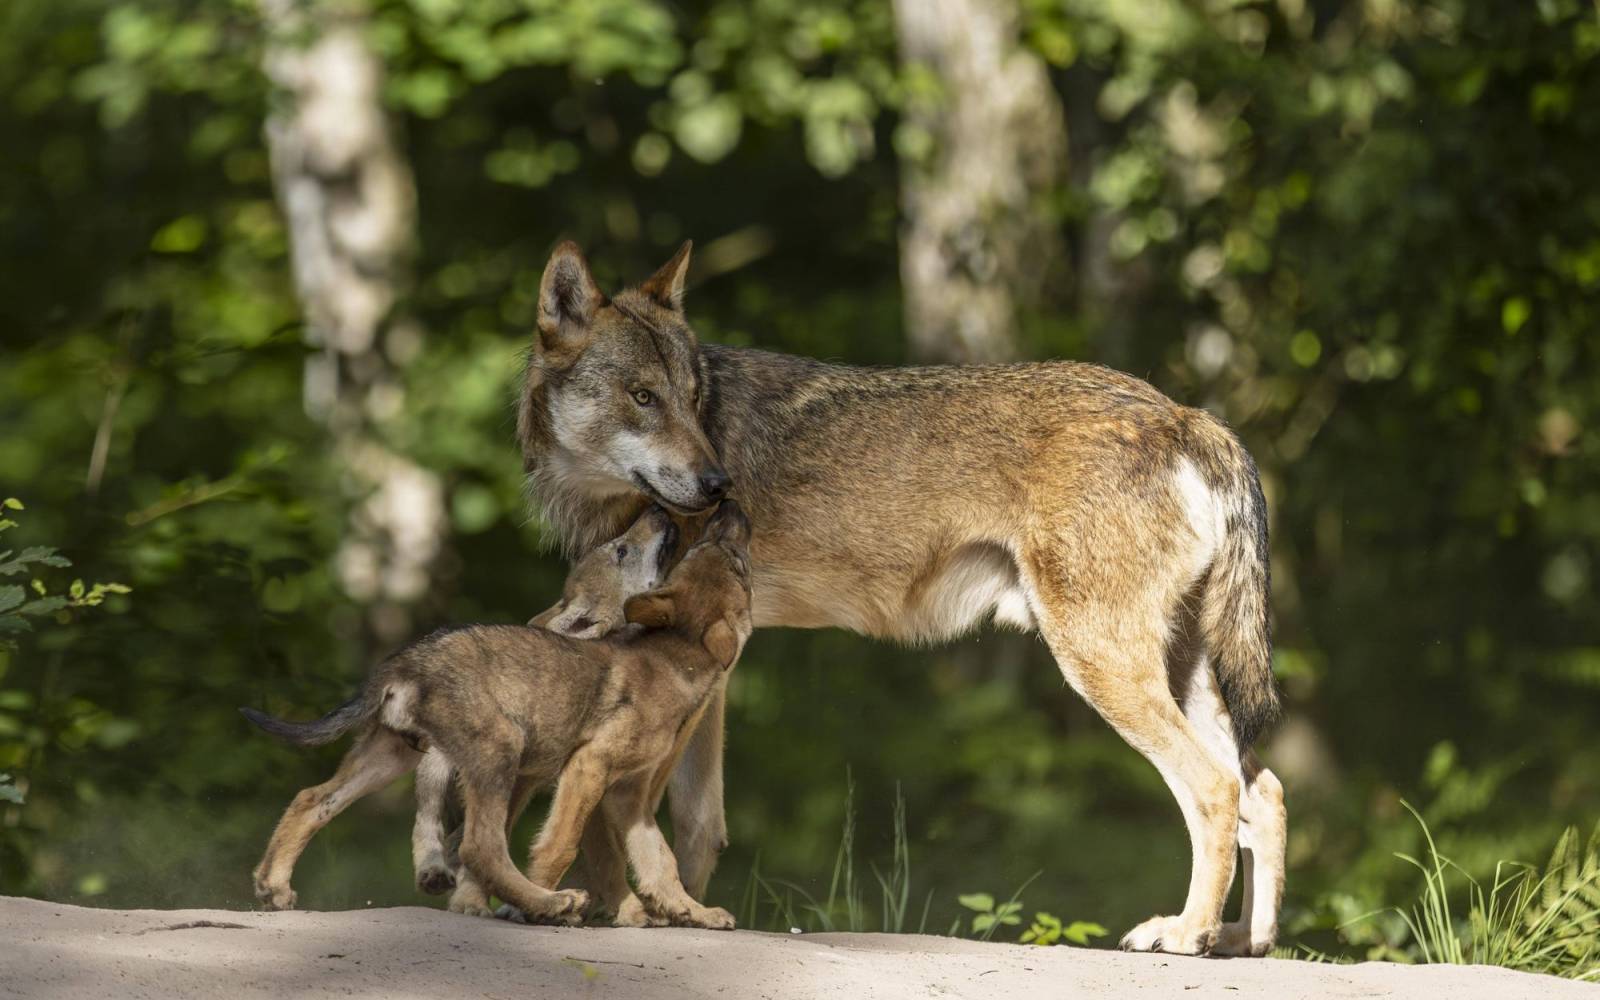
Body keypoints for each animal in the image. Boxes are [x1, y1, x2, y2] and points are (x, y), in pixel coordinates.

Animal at [244, 499, 755, 928]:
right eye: (621, 549)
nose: (728, 507)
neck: (675, 658)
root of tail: (404, 661)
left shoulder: (628, 794)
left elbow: (658, 861)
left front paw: (690, 912)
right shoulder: (589, 769)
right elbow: (565, 846)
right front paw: (525, 908)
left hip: (394, 754)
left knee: (313, 799)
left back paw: (274, 886)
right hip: (497, 749)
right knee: (479, 845)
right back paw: (548, 902)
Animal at [518, 240, 1292, 953]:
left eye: (694, 401)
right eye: (644, 398)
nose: (717, 486)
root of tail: (1187, 415)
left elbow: (642, 807)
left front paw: (640, 908)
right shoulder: (713, 665)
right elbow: (698, 820)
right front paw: (689, 914)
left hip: (1101, 668)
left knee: (1216, 788)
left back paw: (1187, 933)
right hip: (1182, 671)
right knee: (1265, 790)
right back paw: (1244, 940)